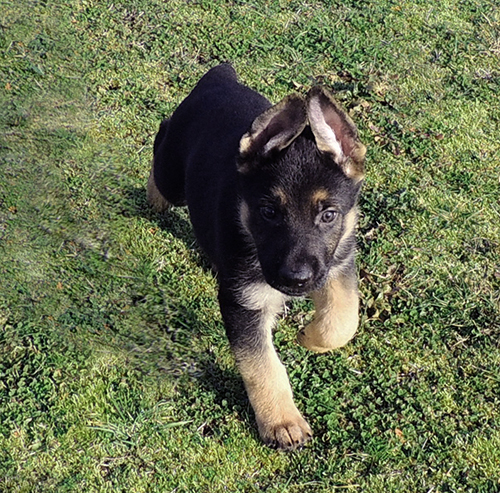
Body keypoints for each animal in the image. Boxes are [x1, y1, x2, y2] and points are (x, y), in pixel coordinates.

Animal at [146, 64, 366, 450]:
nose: (296, 280)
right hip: (172, 177)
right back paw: (153, 197)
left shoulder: (337, 265)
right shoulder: (244, 304)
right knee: (161, 142)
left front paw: (310, 337)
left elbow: (343, 321)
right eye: (269, 212)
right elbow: (261, 364)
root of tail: (219, 78)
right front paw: (282, 421)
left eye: (329, 215)